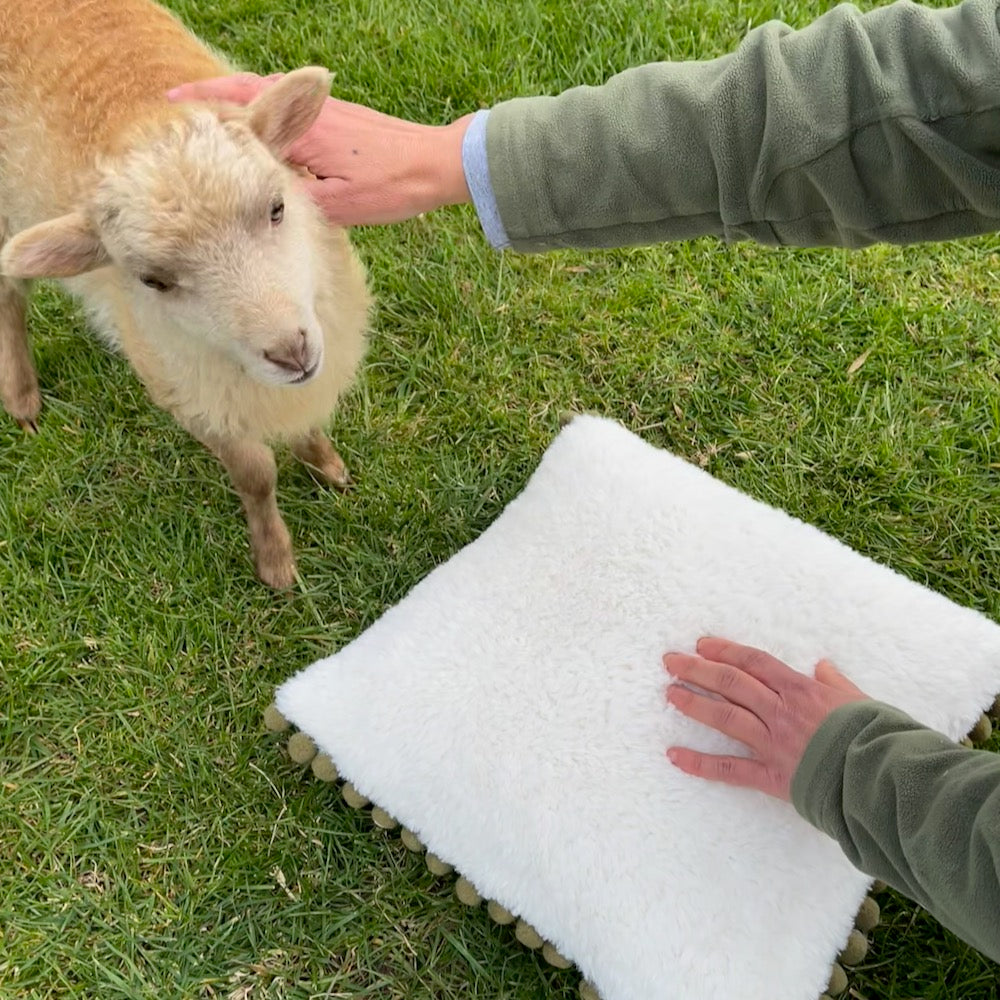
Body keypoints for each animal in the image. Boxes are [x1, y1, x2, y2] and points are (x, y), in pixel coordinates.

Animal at [0, 0, 371, 589]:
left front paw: (325, 465)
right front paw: (275, 562)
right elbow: (256, 475)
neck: (138, 116)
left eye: (277, 208)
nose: (290, 351)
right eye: (153, 281)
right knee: (9, 296)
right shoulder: (188, 393)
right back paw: (21, 396)